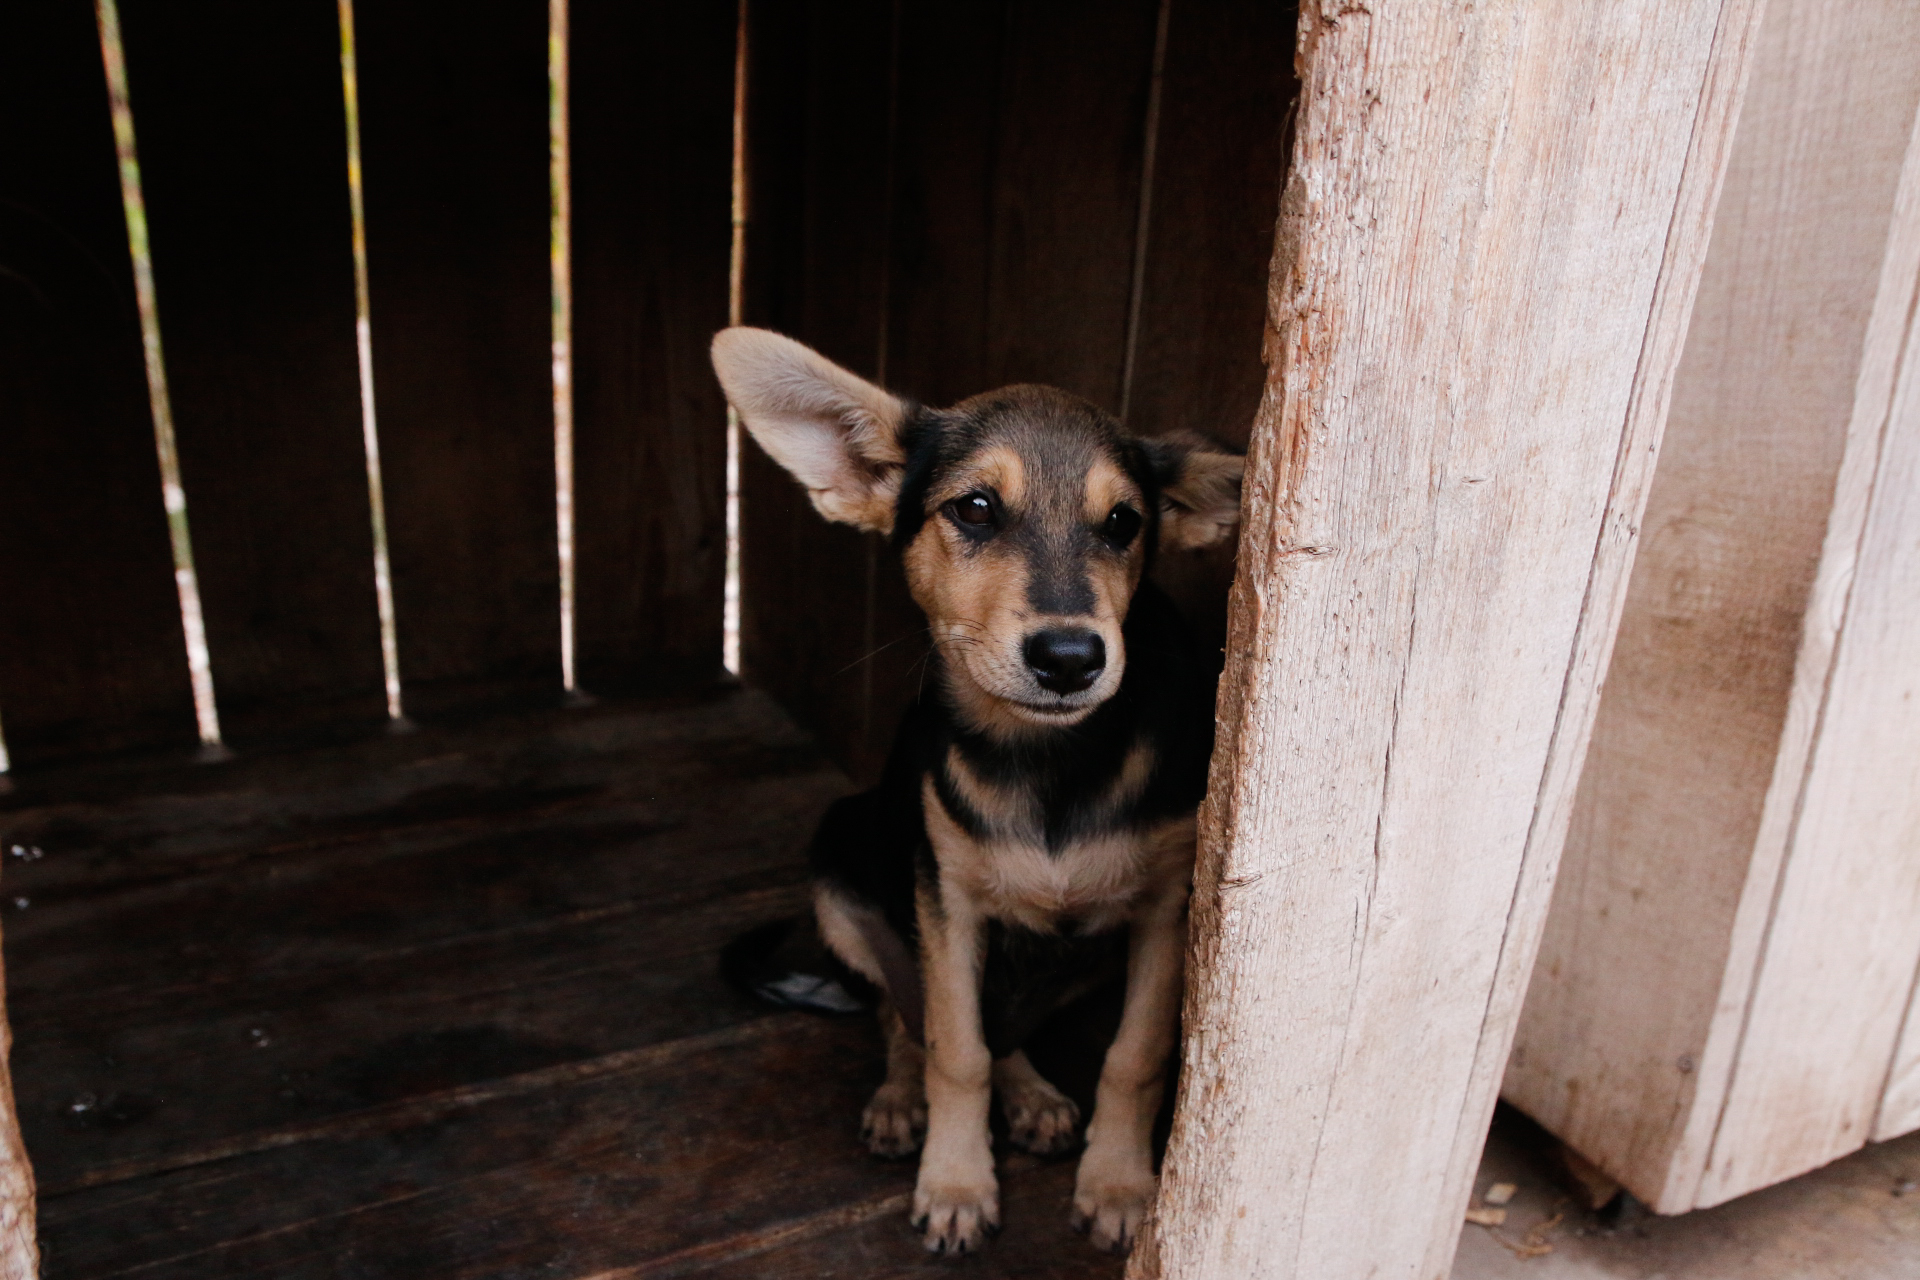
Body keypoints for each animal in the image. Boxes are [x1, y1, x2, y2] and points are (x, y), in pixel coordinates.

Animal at [710, 326, 1244, 1258]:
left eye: (1124, 523)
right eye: (974, 510)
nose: (1070, 658)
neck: (1045, 760)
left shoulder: (1164, 911)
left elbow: (1133, 1058)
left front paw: (1117, 1183)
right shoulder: (947, 901)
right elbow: (954, 1046)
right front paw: (957, 1182)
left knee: (1005, 1028)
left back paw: (1030, 1096)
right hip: (842, 871)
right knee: (907, 1015)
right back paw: (901, 1101)